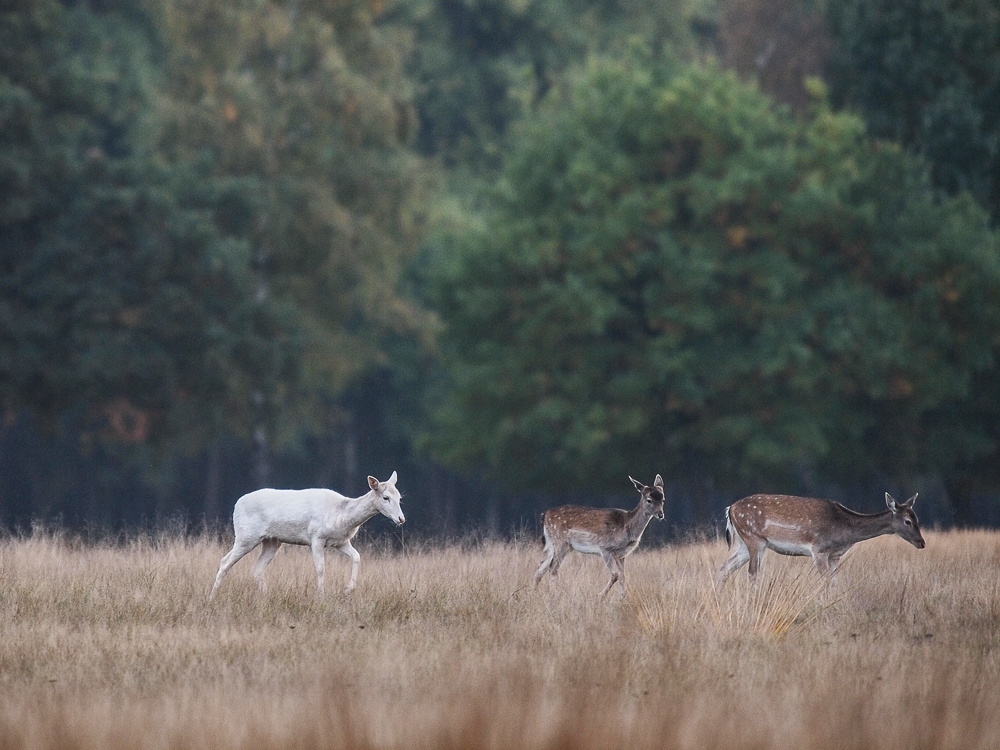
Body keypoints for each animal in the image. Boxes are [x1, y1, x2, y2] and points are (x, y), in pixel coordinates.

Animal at [209, 472, 404, 604]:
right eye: (385, 497)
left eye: (400, 497)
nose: (401, 519)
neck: (341, 517)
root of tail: (236, 504)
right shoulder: (316, 537)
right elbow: (320, 568)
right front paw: (321, 597)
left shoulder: (340, 542)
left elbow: (357, 556)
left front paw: (348, 590)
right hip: (246, 536)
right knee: (225, 561)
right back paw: (211, 597)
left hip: (272, 541)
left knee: (257, 568)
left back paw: (266, 596)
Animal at [532, 476, 664, 600]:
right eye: (649, 500)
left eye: (663, 499)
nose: (661, 514)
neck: (627, 527)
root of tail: (544, 515)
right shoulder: (605, 547)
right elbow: (615, 575)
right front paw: (600, 595)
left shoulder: (622, 554)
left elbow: (623, 576)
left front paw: (622, 598)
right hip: (560, 541)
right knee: (553, 568)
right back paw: (558, 595)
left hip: (559, 545)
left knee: (541, 567)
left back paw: (534, 593)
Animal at [716, 494, 924, 588]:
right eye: (907, 521)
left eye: (917, 518)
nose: (922, 542)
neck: (845, 532)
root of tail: (730, 509)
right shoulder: (819, 550)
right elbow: (825, 581)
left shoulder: (835, 556)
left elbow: (834, 583)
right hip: (754, 539)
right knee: (752, 573)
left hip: (744, 544)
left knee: (724, 568)